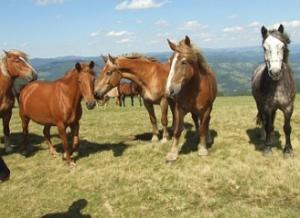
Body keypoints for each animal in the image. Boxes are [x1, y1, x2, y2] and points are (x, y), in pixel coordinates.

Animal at [251, 24, 296, 158]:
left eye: (282, 46)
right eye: (264, 47)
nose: (275, 72)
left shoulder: (288, 108)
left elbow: (287, 128)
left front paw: (288, 150)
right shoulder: (267, 107)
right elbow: (268, 125)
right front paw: (267, 148)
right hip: (259, 105)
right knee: (264, 121)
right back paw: (264, 137)